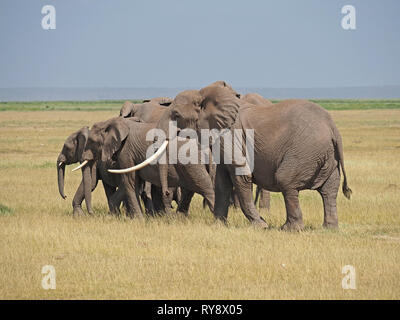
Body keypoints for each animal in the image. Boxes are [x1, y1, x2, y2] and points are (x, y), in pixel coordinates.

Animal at [79, 116, 216, 219]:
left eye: (92, 142)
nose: (91, 214)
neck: (110, 122)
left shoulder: (126, 152)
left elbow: (130, 182)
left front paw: (139, 220)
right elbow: (134, 182)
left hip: (190, 161)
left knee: (206, 187)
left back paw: (217, 220)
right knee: (190, 189)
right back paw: (180, 218)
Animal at [148, 85, 352, 230]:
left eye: (176, 115)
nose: (167, 193)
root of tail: (333, 127)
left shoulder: (231, 135)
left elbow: (241, 175)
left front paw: (261, 225)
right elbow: (221, 182)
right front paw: (218, 226)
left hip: (305, 150)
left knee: (286, 181)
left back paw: (290, 229)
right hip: (325, 156)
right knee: (329, 190)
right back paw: (329, 229)